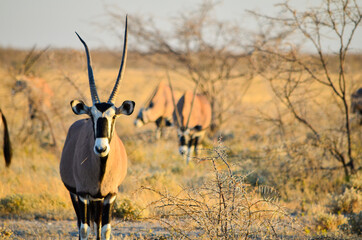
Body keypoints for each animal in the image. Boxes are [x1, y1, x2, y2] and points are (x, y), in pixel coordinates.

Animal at [60, 15, 135, 239]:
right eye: (91, 116)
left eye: (114, 117)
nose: (101, 148)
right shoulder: (82, 194)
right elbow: (84, 228)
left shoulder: (110, 195)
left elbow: (105, 229)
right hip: (75, 194)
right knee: (80, 224)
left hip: (99, 199)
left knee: (98, 224)